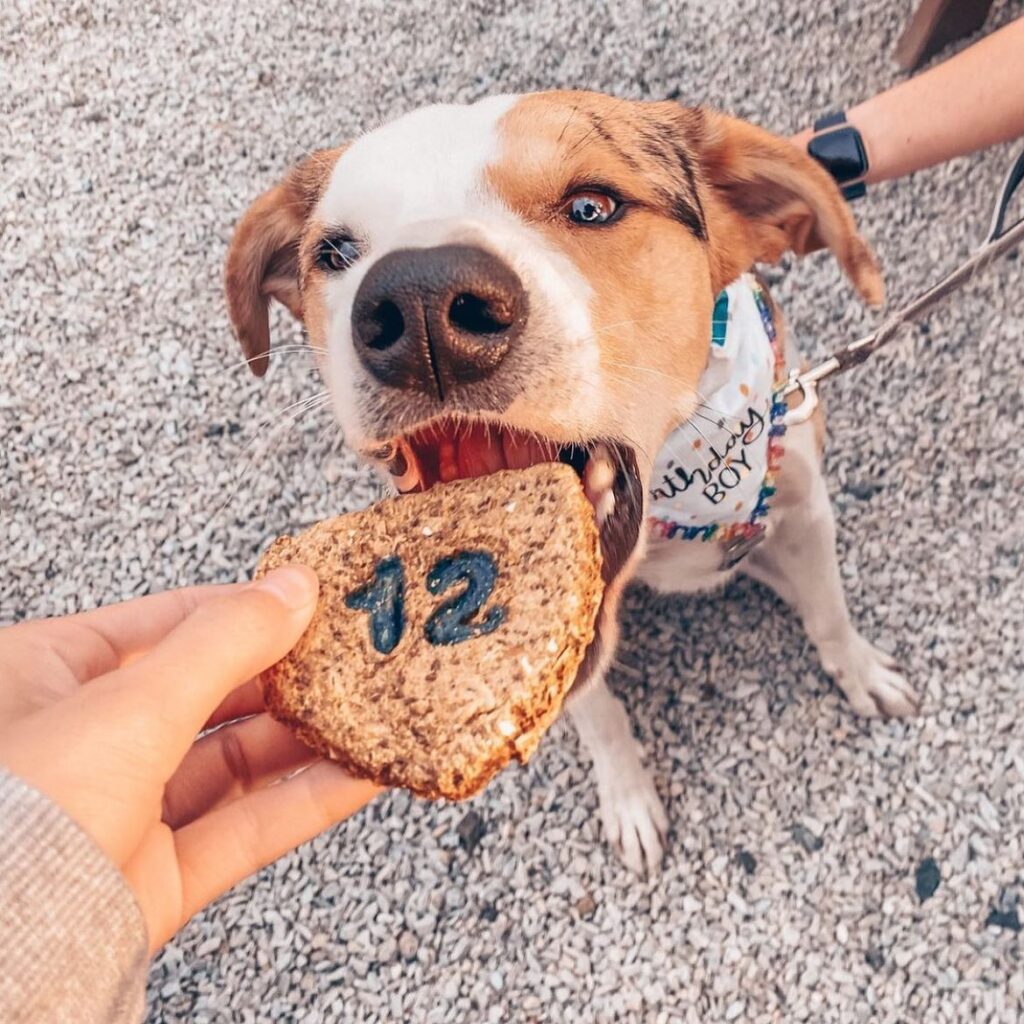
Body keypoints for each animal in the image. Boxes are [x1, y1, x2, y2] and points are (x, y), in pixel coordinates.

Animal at [224, 92, 921, 872]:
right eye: (336, 253)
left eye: (593, 205)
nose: (421, 305)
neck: (680, 472)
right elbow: (602, 717)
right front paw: (630, 800)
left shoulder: (804, 506)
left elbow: (830, 610)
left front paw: (861, 673)